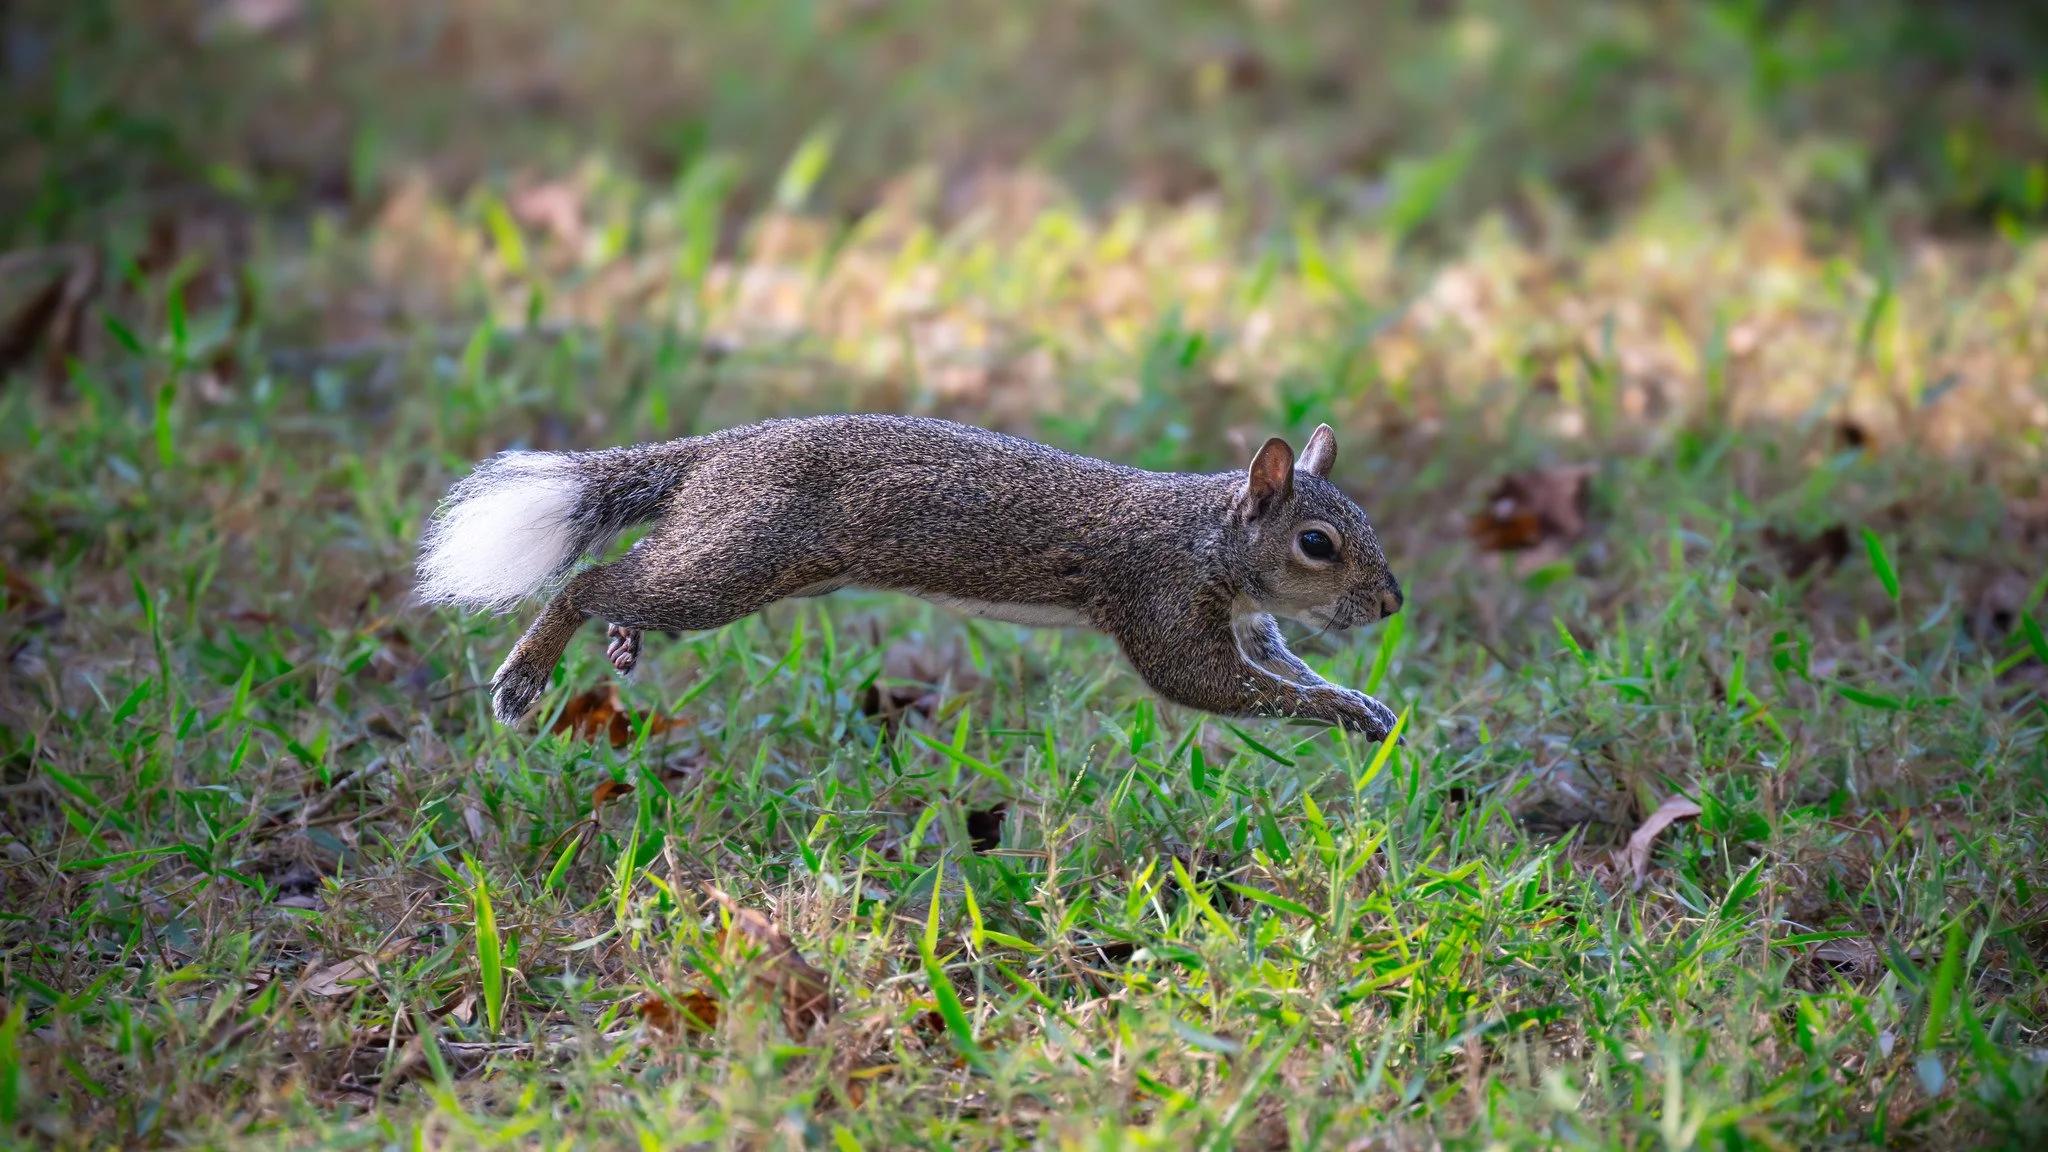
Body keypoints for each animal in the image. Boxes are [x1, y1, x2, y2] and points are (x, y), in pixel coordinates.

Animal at [414, 414, 1404, 741]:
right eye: (1319, 543)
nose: (1392, 602)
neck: (1210, 539)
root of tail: (718, 453)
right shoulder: (1159, 598)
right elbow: (1215, 685)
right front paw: (1341, 713)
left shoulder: (1247, 620)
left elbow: (1282, 664)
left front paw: (1362, 700)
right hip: (739, 559)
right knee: (590, 583)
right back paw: (527, 673)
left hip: (719, 551)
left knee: (634, 576)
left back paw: (624, 639)